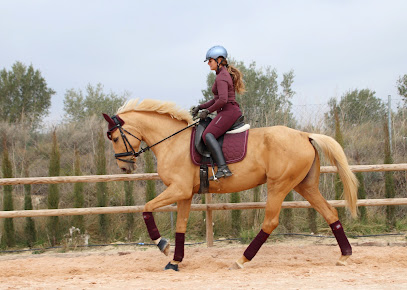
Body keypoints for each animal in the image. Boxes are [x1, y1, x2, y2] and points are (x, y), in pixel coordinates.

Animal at [103, 98, 358, 270]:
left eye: (115, 138)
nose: (125, 167)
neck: (173, 142)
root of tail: (305, 135)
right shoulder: (185, 194)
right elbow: (181, 227)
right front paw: (175, 261)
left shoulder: (178, 189)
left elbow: (146, 209)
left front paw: (162, 245)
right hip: (305, 186)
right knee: (330, 213)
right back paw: (345, 255)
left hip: (279, 185)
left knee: (270, 222)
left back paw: (241, 259)